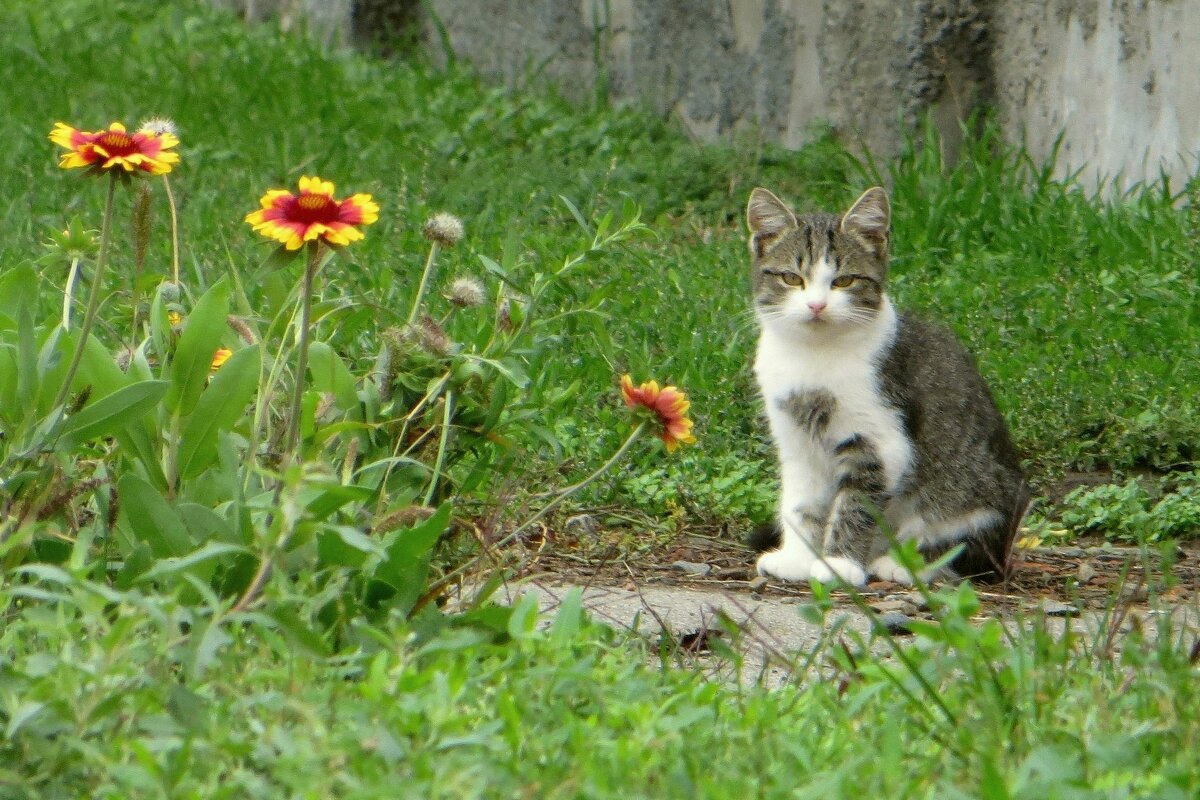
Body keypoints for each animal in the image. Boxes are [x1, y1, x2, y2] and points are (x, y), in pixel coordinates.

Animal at [744, 188, 1027, 587]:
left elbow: (856, 503)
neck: (814, 354)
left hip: (975, 500)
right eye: (791, 278)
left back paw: (906, 563)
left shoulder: (880, 441)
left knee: (967, 553)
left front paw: (839, 564)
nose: (816, 305)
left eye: (844, 281)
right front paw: (799, 559)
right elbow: (800, 503)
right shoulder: (796, 442)